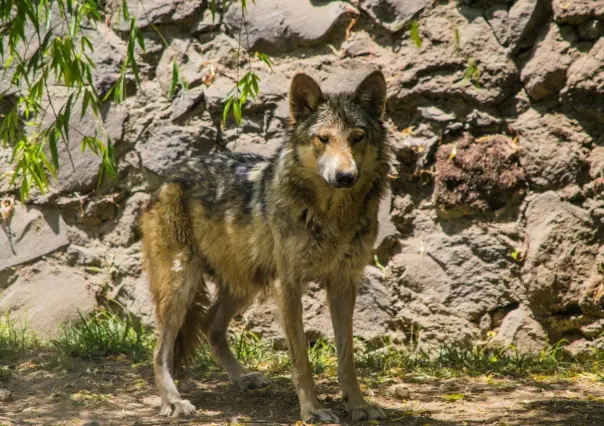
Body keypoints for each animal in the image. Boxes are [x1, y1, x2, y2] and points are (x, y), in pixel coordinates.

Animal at [140, 70, 390, 422]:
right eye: (323, 138)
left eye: (358, 137)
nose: (345, 177)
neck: (333, 215)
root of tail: (169, 178)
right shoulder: (288, 285)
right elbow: (301, 360)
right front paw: (312, 410)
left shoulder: (343, 284)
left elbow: (347, 358)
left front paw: (358, 405)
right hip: (182, 285)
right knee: (159, 350)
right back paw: (173, 401)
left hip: (246, 283)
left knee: (211, 325)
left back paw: (242, 377)